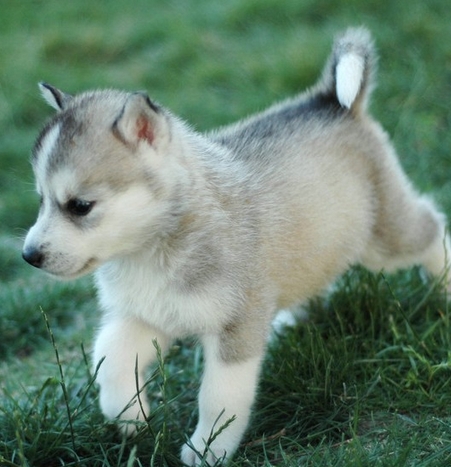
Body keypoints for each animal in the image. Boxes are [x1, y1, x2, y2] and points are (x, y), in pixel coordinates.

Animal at [23, 28, 450, 464]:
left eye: (80, 205)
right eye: (41, 200)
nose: (29, 256)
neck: (153, 249)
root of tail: (331, 101)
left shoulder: (235, 328)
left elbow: (219, 397)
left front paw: (207, 449)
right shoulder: (146, 313)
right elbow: (109, 354)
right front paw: (128, 415)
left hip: (384, 241)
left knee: (431, 227)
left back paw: (444, 287)